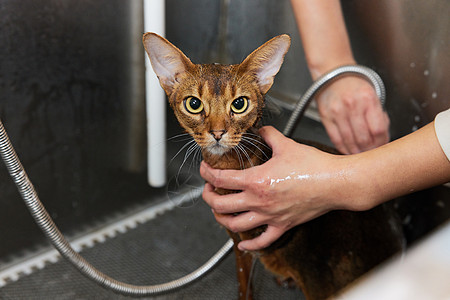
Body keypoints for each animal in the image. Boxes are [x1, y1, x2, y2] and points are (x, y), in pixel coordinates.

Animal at [144, 32, 404, 300]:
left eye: (239, 104)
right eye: (194, 104)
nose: (217, 133)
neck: (228, 166)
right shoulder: (239, 243)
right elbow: (243, 283)